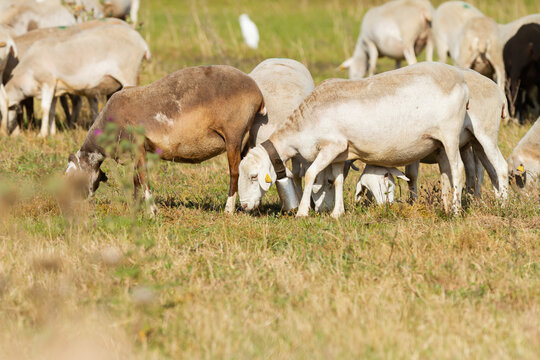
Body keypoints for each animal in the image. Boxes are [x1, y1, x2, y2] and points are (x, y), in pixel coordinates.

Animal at [0, 23, 150, 136]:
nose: (8, 131)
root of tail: (141, 42)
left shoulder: (48, 82)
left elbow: (44, 108)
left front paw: (41, 135)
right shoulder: (55, 88)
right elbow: (52, 110)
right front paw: (52, 133)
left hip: (128, 72)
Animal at [63, 65, 266, 214]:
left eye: (73, 178)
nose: (67, 206)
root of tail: (257, 93)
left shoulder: (138, 144)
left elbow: (143, 177)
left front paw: (152, 211)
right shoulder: (139, 150)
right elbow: (136, 178)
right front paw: (136, 207)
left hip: (233, 136)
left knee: (235, 172)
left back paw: (228, 210)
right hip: (244, 140)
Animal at [236, 61, 468, 217]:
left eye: (254, 177)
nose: (245, 206)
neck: (302, 126)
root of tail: (459, 80)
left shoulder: (331, 146)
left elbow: (310, 175)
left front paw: (302, 212)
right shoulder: (340, 153)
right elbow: (338, 179)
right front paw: (337, 213)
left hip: (450, 133)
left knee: (457, 168)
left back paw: (456, 211)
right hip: (439, 142)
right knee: (446, 172)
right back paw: (446, 207)